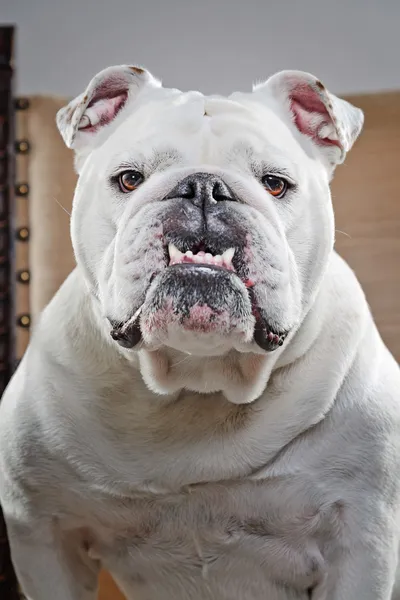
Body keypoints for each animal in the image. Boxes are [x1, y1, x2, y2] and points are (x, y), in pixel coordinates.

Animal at [0, 65, 400, 600]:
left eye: (275, 185)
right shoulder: (42, 532)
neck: (199, 381)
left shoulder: (362, 539)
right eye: (129, 179)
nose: (205, 188)